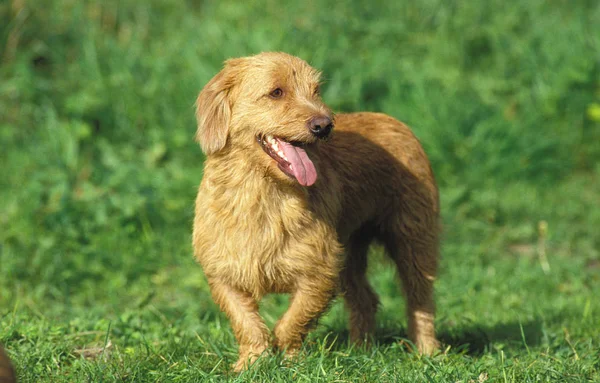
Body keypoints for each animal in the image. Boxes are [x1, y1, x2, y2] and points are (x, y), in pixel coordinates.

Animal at [193, 52, 440, 370]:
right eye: (276, 92)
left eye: (316, 91)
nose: (324, 125)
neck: (264, 193)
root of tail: (392, 120)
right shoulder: (223, 274)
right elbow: (246, 323)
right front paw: (251, 363)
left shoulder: (320, 271)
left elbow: (293, 321)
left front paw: (291, 361)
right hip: (351, 253)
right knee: (365, 299)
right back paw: (360, 351)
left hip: (412, 241)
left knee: (420, 299)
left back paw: (427, 353)